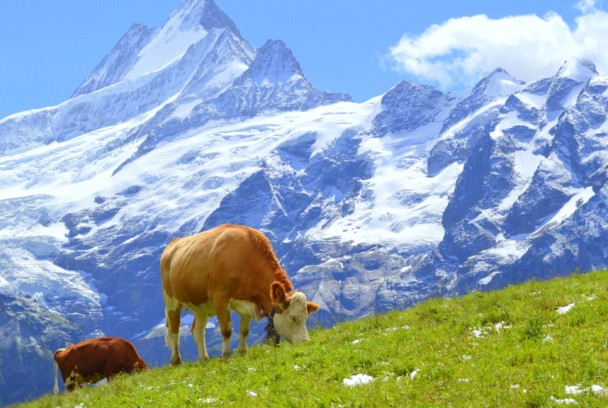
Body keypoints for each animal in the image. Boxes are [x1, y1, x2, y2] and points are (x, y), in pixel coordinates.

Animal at [162, 223, 320, 364]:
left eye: (306, 317)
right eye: (293, 317)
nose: (305, 342)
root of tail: (174, 242)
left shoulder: (249, 301)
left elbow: (244, 330)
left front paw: (242, 352)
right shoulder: (220, 298)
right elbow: (226, 330)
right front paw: (226, 355)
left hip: (200, 304)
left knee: (197, 330)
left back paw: (204, 359)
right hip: (170, 299)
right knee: (174, 329)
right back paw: (176, 360)